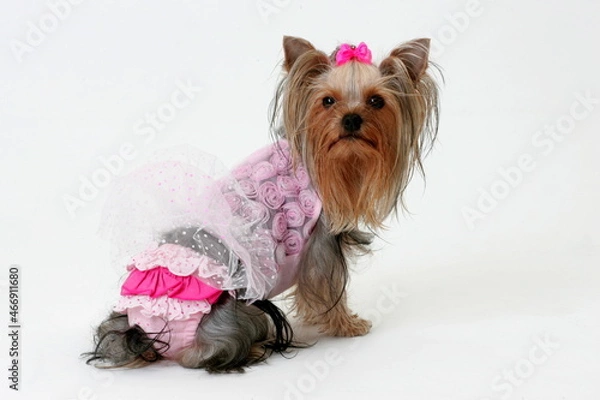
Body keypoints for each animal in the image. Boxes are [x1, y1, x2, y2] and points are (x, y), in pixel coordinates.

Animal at [84, 36, 438, 374]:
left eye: (377, 101)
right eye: (327, 101)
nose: (351, 119)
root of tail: (140, 330)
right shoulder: (320, 247)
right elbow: (327, 291)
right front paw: (348, 326)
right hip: (241, 311)